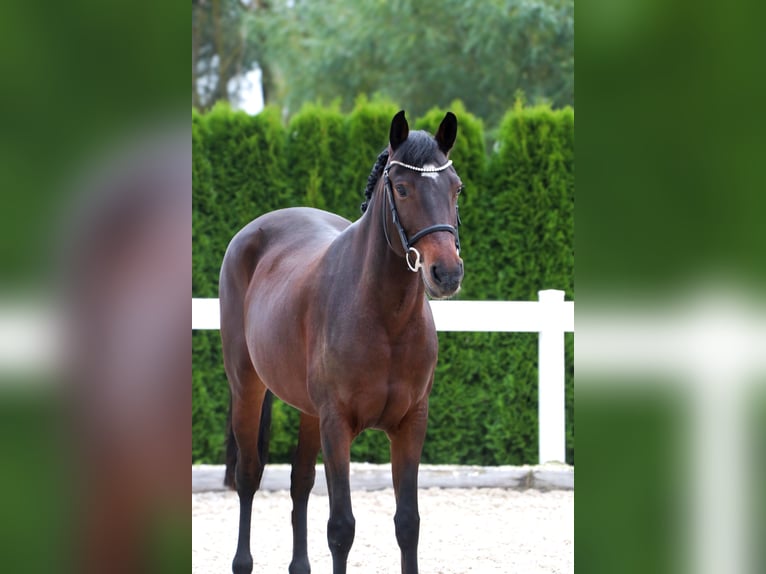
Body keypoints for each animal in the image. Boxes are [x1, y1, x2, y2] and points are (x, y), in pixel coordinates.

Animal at [219, 109, 464, 574]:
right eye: (402, 188)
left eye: (456, 187)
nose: (446, 273)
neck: (386, 321)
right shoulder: (337, 425)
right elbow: (341, 527)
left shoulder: (411, 423)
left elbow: (408, 523)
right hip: (247, 388)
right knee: (248, 475)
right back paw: (242, 562)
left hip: (307, 411)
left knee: (299, 481)